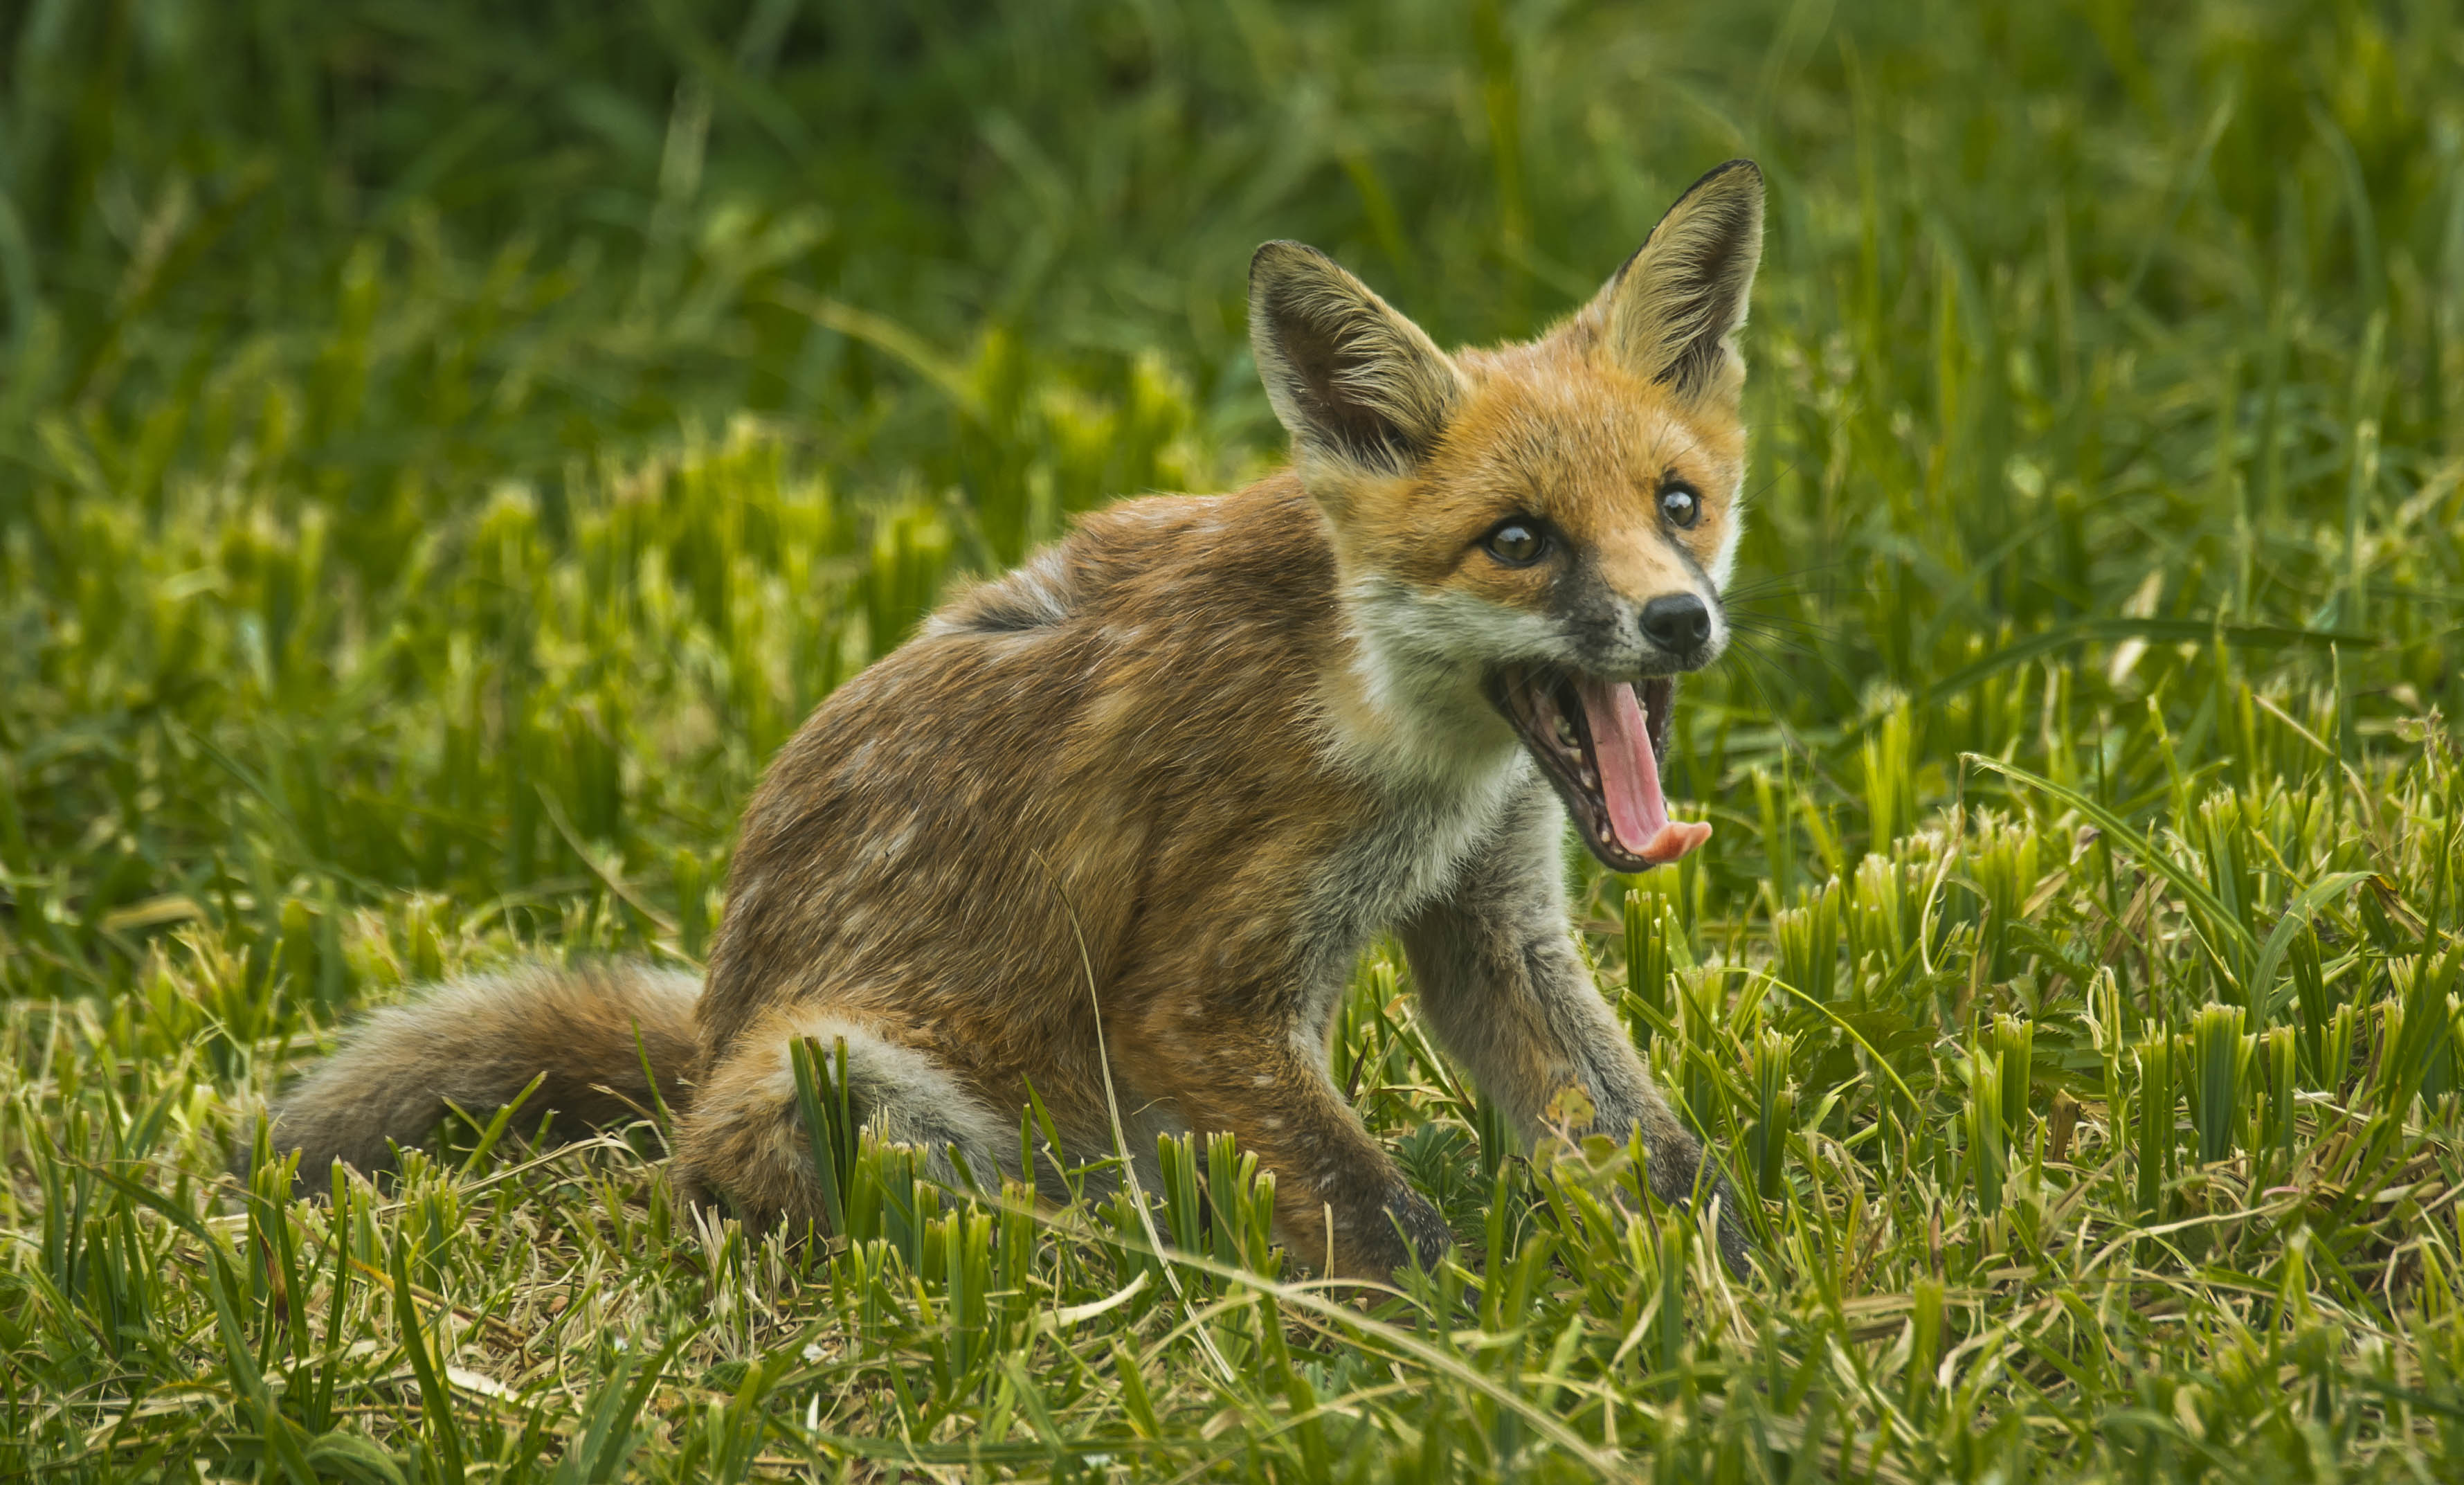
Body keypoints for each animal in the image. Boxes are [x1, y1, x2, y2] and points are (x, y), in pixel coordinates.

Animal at [264, 160, 1774, 1280]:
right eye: (1518, 541)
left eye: (1676, 505)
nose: (1676, 623)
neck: (1400, 724)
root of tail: (697, 1043)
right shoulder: (1201, 992)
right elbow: (1378, 1217)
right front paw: (1460, 1352)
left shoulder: (1491, 921)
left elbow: (1652, 1152)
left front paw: (1730, 1304)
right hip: (852, 1079)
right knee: (990, 1225)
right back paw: (1143, 1265)